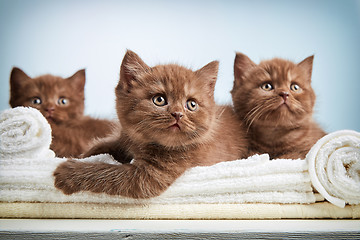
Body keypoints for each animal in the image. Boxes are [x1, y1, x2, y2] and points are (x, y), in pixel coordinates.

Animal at [53, 49, 248, 198]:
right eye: (159, 100)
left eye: (191, 104)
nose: (178, 114)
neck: (144, 142)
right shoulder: (124, 138)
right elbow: (103, 145)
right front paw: (83, 155)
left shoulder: (148, 176)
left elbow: (109, 173)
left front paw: (67, 171)